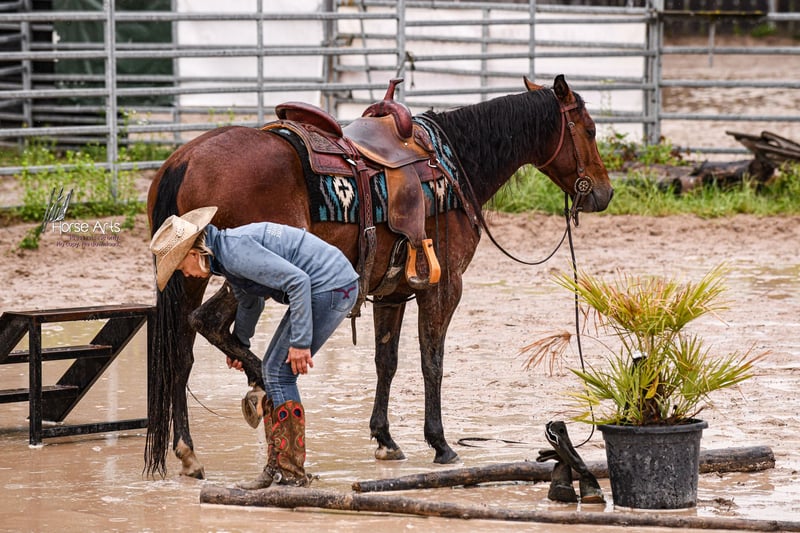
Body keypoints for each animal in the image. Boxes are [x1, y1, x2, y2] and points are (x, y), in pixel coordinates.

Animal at [144, 75, 613, 478]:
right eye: (590, 130)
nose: (604, 193)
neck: (452, 165)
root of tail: (185, 159)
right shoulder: (444, 287)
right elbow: (431, 361)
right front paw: (440, 443)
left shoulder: (391, 293)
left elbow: (385, 361)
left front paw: (385, 439)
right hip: (244, 268)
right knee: (206, 324)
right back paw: (258, 388)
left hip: (188, 275)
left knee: (181, 353)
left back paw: (190, 450)